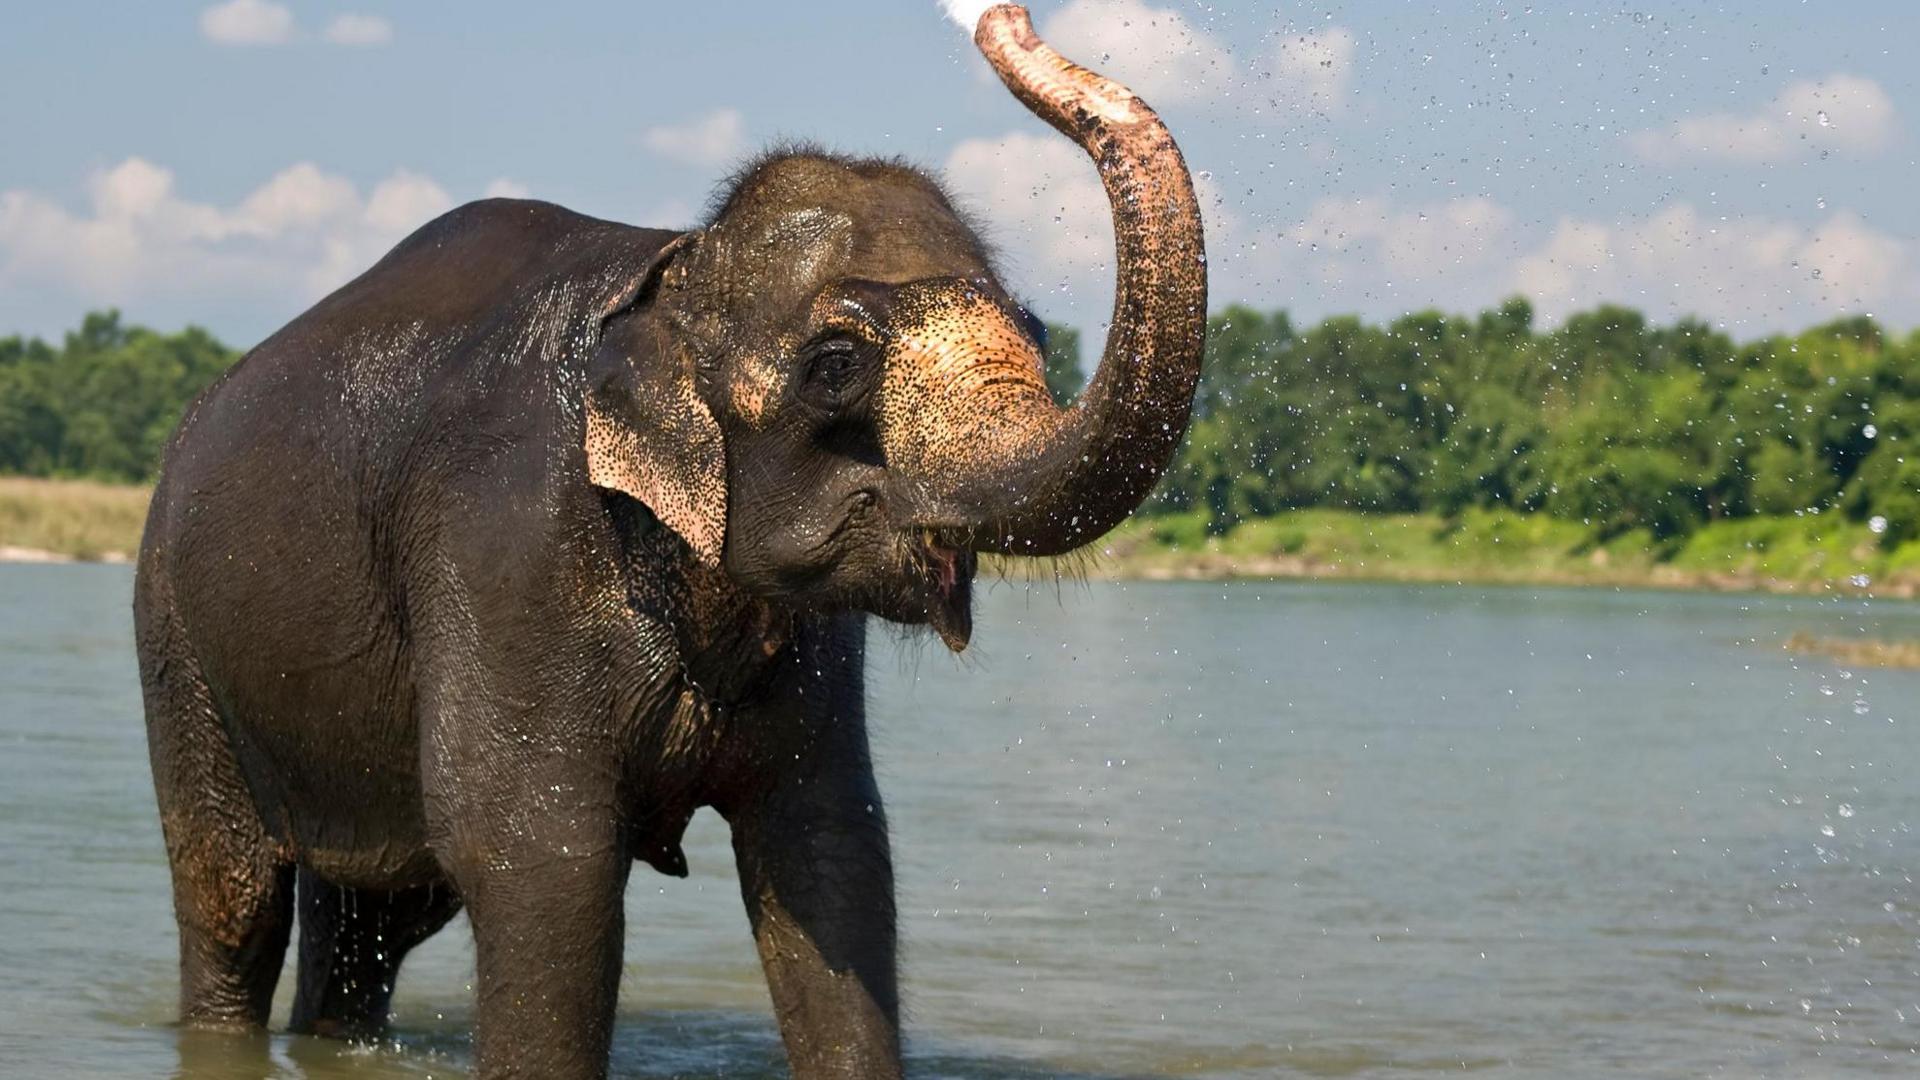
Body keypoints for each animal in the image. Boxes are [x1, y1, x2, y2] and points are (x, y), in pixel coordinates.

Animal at [135, 6, 1205, 1068]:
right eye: (837, 364)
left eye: (1037, 329)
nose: (1002, 19)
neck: (674, 264)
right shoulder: (505, 551)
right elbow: (540, 859)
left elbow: (829, 849)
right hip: (175, 637)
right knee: (234, 901)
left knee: (381, 913)